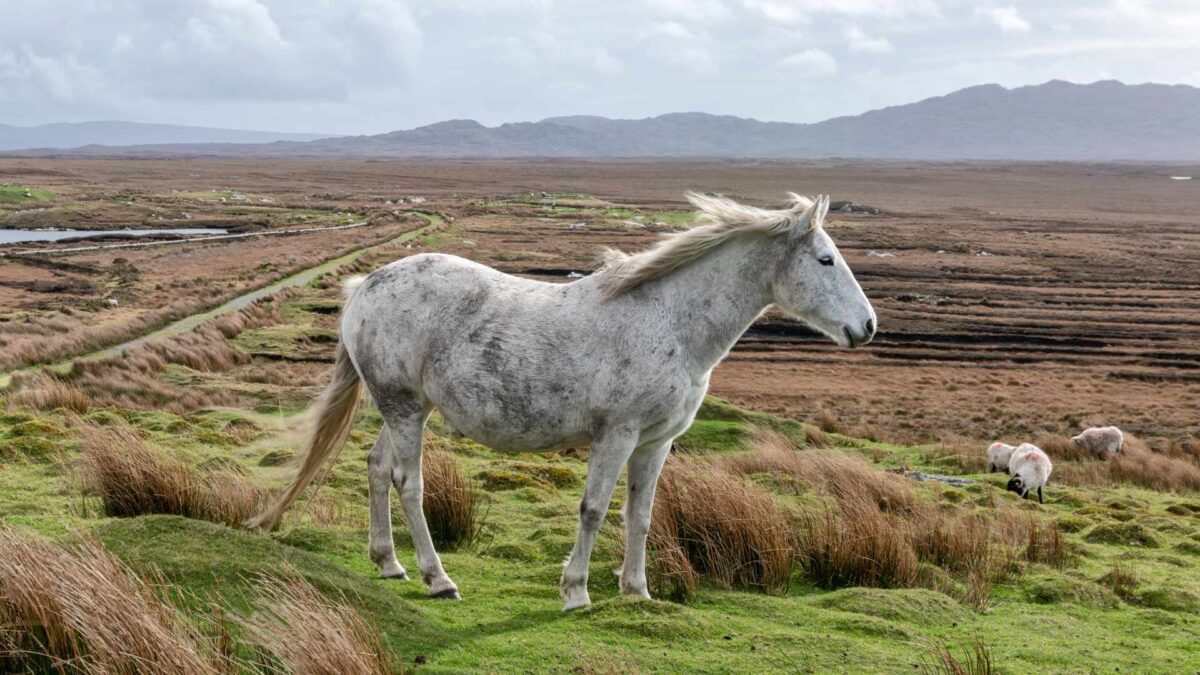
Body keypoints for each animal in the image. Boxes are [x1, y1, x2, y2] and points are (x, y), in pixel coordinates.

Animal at [248, 192, 876, 611]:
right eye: (825, 260)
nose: (867, 327)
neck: (670, 321)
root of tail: (366, 286)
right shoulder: (616, 435)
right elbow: (593, 510)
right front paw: (576, 592)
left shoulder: (655, 443)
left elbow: (641, 515)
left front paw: (637, 591)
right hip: (403, 409)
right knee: (408, 483)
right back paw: (437, 578)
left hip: (407, 408)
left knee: (377, 468)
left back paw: (388, 563)